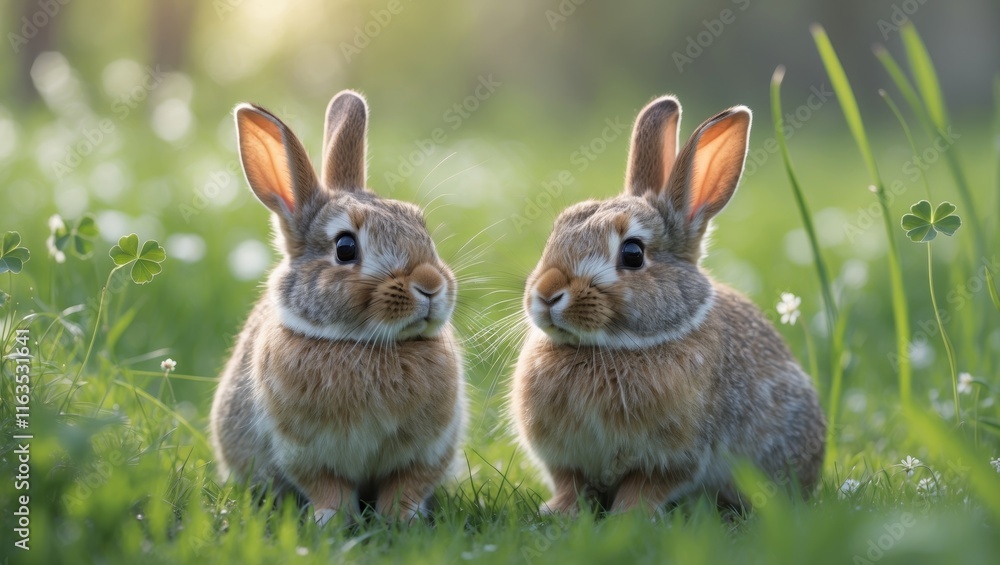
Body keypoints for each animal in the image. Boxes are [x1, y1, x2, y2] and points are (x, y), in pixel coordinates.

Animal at [209, 90, 466, 526]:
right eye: (345, 248)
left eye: (421, 226)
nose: (431, 285)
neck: (363, 344)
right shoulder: (303, 453)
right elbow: (329, 489)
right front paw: (330, 522)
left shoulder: (428, 450)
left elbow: (407, 487)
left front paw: (404, 521)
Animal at [511, 95, 826, 516]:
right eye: (558, 229)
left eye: (632, 254)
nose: (545, 294)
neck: (609, 348)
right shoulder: (565, 460)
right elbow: (570, 485)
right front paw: (559, 512)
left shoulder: (675, 459)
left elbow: (645, 487)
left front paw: (629, 517)